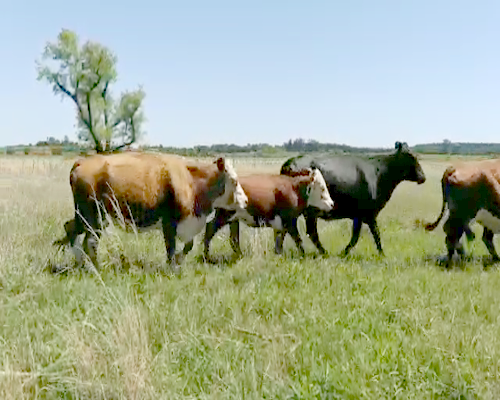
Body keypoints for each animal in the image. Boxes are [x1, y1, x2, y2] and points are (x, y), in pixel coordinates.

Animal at [53, 153, 247, 272]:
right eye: (234, 180)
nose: (245, 201)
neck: (191, 180)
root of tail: (82, 161)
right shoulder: (169, 222)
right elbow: (171, 247)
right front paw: (172, 268)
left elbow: (188, 245)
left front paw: (178, 262)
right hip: (93, 216)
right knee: (90, 241)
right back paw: (95, 268)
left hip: (87, 216)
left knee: (71, 229)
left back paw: (82, 264)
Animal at [201, 167, 334, 258]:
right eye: (322, 188)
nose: (332, 204)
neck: (294, 189)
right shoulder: (289, 221)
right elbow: (298, 239)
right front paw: (303, 255)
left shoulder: (282, 224)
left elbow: (279, 240)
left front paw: (278, 255)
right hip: (224, 215)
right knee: (210, 229)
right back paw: (207, 257)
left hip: (233, 218)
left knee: (233, 239)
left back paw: (239, 255)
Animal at [278, 142, 426, 256]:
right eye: (411, 157)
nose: (423, 177)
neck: (380, 173)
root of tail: (290, 163)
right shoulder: (369, 213)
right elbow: (375, 234)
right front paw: (382, 254)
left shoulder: (358, 215)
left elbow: (356, 235)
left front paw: (344, 252)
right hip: (309, 211)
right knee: (308, 231)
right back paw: (321, 252)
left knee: (289, 228)